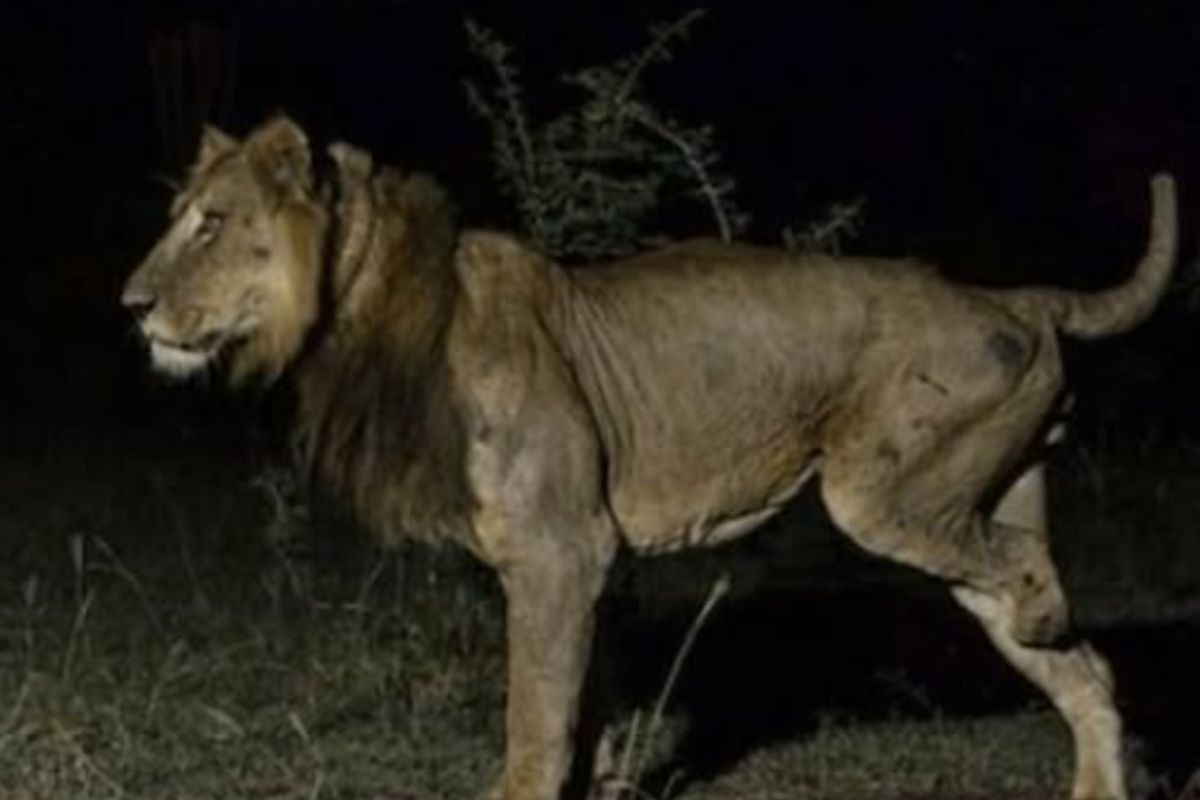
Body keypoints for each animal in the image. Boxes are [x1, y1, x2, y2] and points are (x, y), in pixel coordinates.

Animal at [121, 115, 1177, 800]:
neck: (363, 315)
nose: (130, 305)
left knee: (1032, 578)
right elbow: (581, 707)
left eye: (210, 222)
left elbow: (536, 721)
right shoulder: (579, 562)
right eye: (181, 216)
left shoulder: (559, 550)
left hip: (882, 493)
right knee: (1087, 673)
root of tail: (1012, 297)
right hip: (973, 499)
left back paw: (1045, 613)